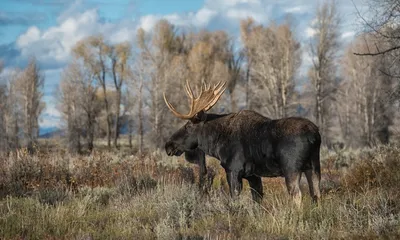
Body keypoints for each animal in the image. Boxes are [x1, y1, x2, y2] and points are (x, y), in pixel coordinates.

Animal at [163, 80, 322, 204]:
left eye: (188, 126)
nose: (168, 145)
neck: (216, 144)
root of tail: (314, 136)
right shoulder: (253, 175)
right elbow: (257, 200)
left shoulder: (233, 170)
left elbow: (234, 199)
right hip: (313, 166)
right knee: (316, 194)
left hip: (292, 169)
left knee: (297, 196)